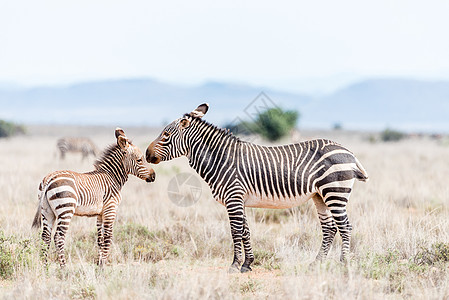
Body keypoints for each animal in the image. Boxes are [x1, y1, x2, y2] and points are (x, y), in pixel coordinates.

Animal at [33, 127, 156, 266]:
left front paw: (99, 262)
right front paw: (103, 265)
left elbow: (100, 239)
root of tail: (49, 178)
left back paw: (44, 266)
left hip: (46, 211)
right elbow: (108, 237)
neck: (112, 177)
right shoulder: (110, 209)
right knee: (59, 237)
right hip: (65, 209)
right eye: (140, 160)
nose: (154, 176)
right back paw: (63, 267)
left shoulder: (100, 214)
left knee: (45, 237)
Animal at [147, 104, 368, 274]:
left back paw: (344, 264)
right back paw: (317, 263)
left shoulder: (233, 197)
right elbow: (246, 230)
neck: (220, 160)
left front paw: (234, 265)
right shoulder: (239, 200)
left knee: (345, 226)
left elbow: (236, 230)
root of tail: (349, 152)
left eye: (165, 135)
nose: (147, 155)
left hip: (335, 192)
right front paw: (247, 264)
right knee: (329, 228)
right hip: (319, 196)